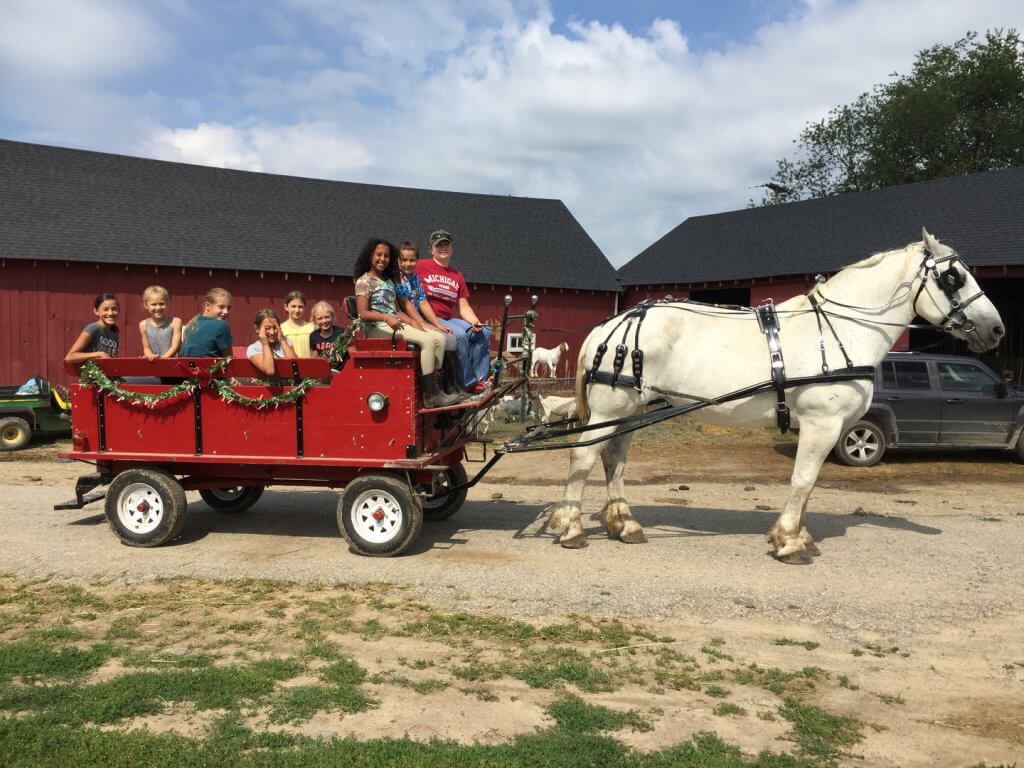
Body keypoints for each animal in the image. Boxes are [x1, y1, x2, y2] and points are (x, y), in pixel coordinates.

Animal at [548, 231, 1003, 561]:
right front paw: (790, 541)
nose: (996, 329)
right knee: (583, 457)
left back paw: (625, 524)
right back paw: (570, 527)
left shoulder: (828, 428)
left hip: (630, 409)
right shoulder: (822, 424)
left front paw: (800, 535)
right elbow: (803, 480)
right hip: (610, 408)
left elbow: (811, 484)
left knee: (613, 458)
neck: (838, 331)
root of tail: (613, 322)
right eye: (953, 277)